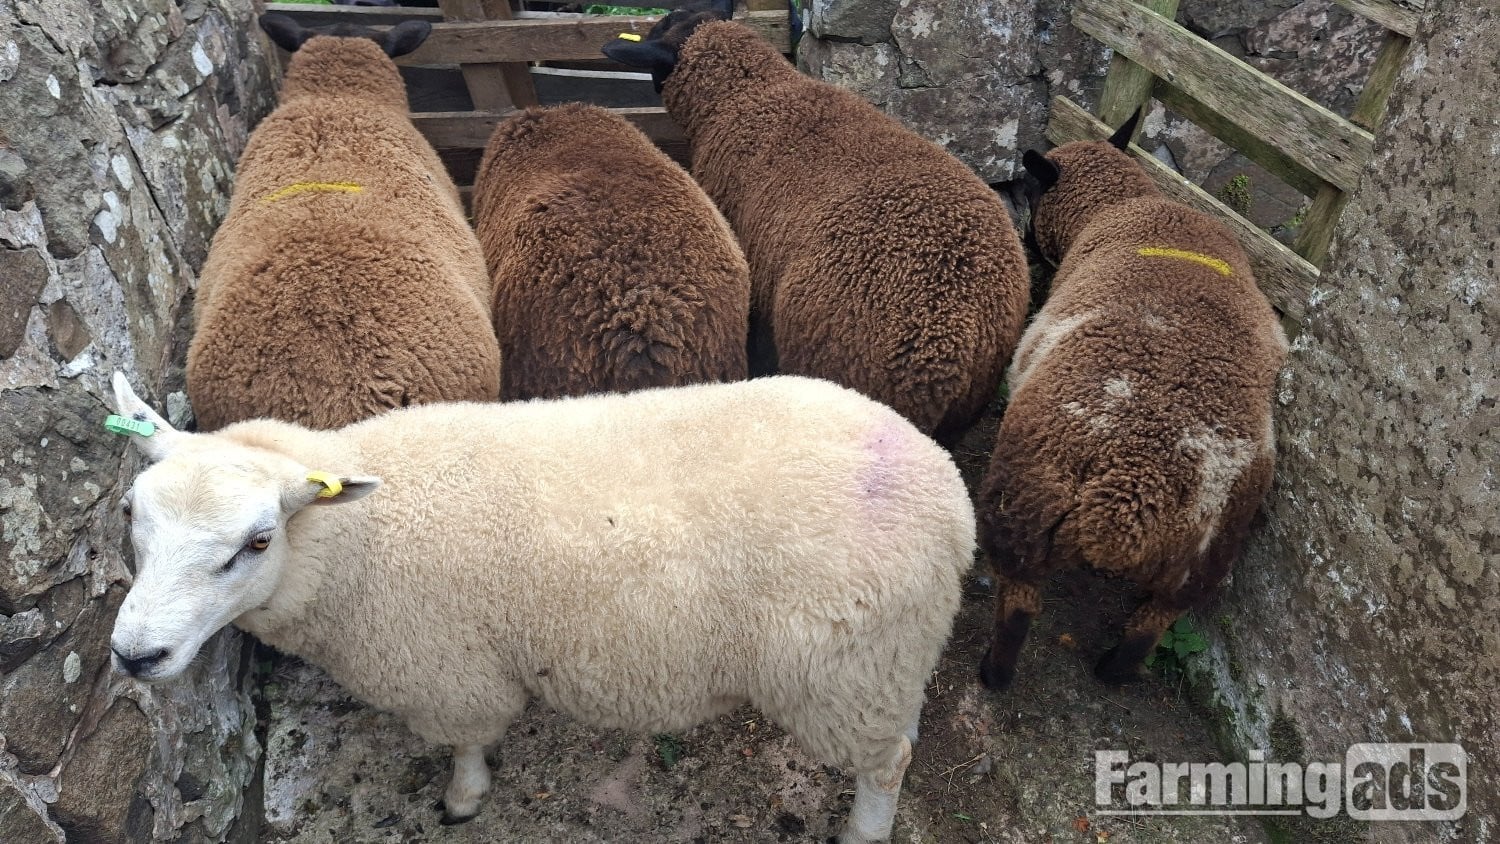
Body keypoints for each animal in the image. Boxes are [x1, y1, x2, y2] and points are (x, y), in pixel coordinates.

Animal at [105, 371, 973, 844]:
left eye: (255, 543)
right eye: (129, 514)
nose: (135, 654)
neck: (364, 536)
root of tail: (948, 492)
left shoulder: (446, 670)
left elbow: (466, 742)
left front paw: (464, 798)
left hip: (839, 673)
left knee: (886, 764)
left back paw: (864, 828)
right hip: (887, 658)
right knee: (899, 731)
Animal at [975, 112, 1288, 689]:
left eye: (1029, 184)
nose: (1022, 227)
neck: (1118, 204)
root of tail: (1128, 497)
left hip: (1022, 503)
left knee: (1020, 604)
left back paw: (995, 674)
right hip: (1204, 560)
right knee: (1152, 622)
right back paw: (1112, 670)